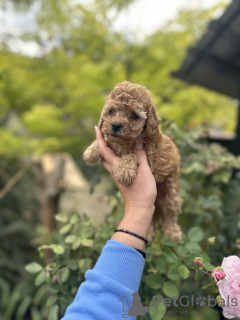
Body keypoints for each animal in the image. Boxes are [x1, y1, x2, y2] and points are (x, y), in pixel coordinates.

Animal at [83, 81, 182, 241]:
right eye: (111, 111)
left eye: (134, 116)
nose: (116, 125)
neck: (124, 142)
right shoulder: (114, 142)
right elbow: (106, 141)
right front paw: (90, 153)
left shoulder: (149, 156)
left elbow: (131, 155)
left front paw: (124, 172)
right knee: (152, 216)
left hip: (171, 193)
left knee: (170, 213)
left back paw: (173, 233)